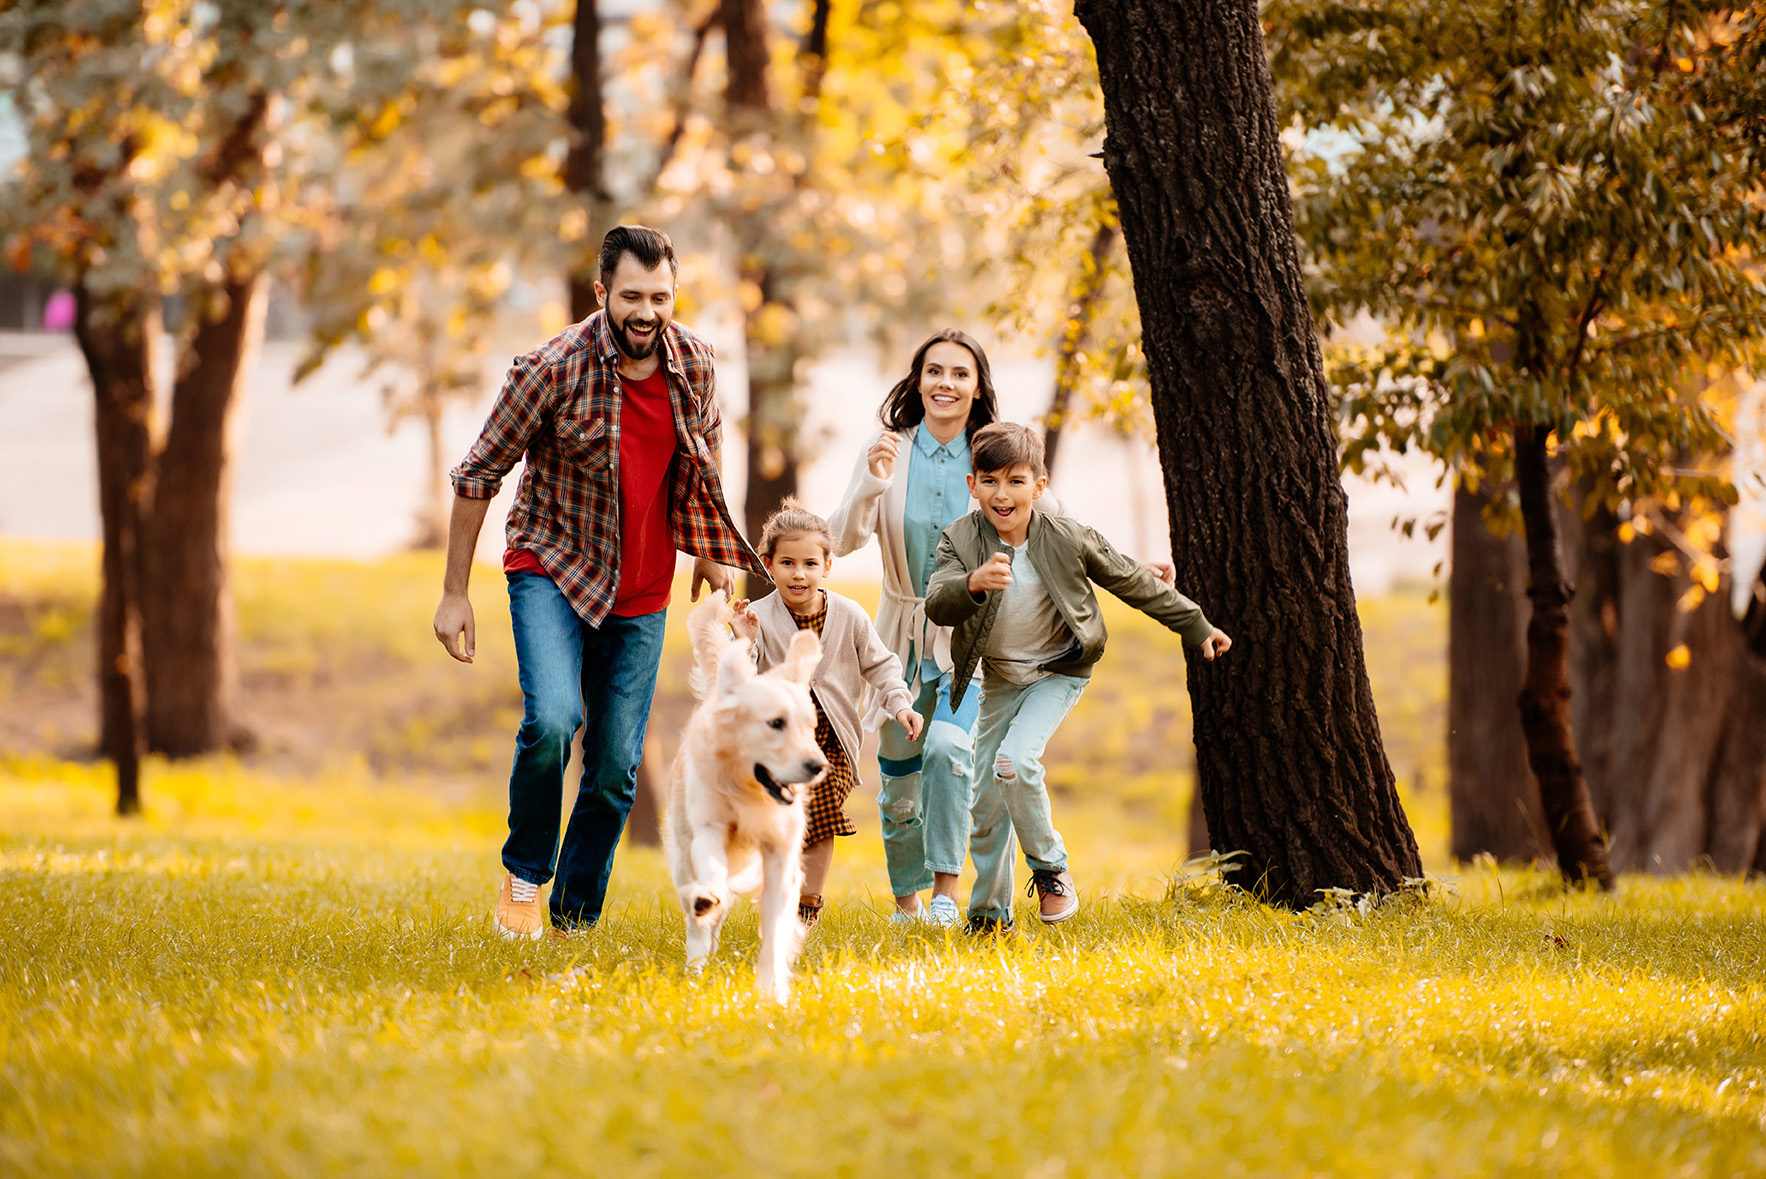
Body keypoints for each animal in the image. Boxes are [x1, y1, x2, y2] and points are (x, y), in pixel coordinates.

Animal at [664, 589, 822, 1002]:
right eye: (775, 723)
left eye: (810, 726)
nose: (818, 766)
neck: (748, 792)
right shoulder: (709, 828)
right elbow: (710, 876)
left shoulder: (781, 853)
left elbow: (777, 929)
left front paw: (772, 991)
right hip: (682, 849)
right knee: (697, 912)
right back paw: (696, 963)